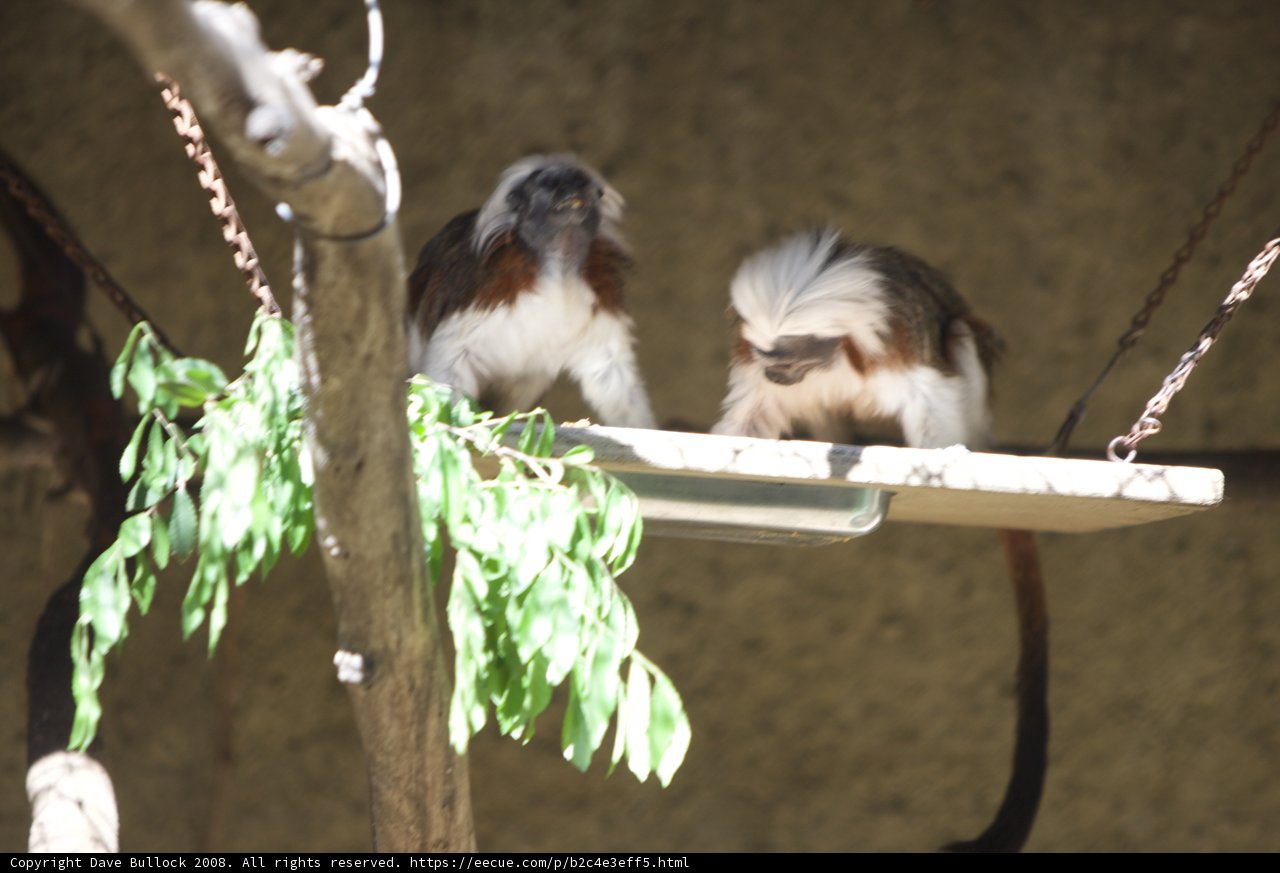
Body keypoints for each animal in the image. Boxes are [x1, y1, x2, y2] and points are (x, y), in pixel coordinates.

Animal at [406, 154, 656, 430]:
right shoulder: (481, 288)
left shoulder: (601, 293)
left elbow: (609, 369)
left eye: (579, 183)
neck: (557, 269)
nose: (570, 191)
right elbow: (452, 356)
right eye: (550, 184)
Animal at [711, 229, 1048, 853]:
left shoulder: (899, 346)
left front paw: (939, 458)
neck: (838, 354)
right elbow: (755, 414)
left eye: (789, 357)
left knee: (961, 335)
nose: (777, 376)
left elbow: (932, 394)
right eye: (769, 360)